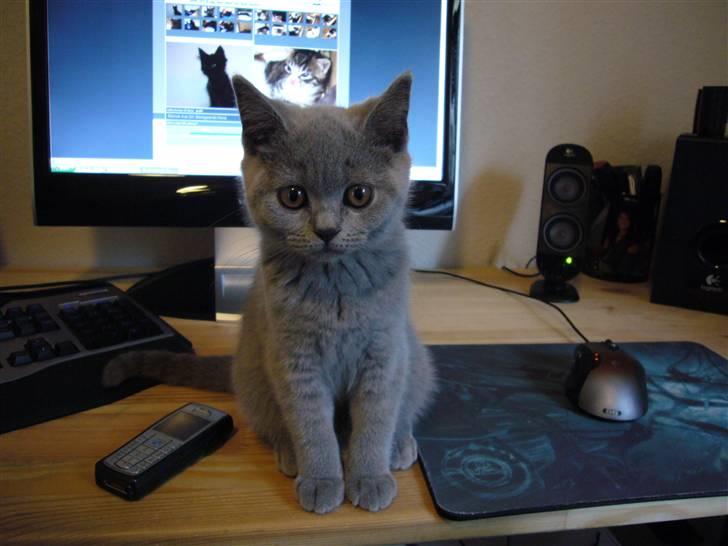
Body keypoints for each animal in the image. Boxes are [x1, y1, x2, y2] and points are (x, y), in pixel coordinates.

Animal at [101, 72, 432, 510]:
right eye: (293, 196)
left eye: (359, 195)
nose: (327, 230)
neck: (335, 291)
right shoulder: (293, 360)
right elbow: (311, 425)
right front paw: (323, 479)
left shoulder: (385, 353)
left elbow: (375, 418)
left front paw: (369, 475)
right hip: (255, 373)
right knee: (275, 422)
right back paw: (291, 455)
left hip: (417, 361)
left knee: (404, 407)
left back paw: (398, 446)